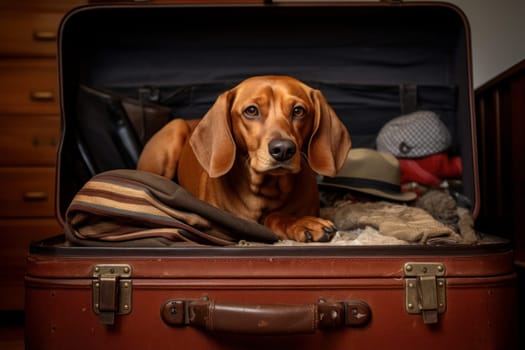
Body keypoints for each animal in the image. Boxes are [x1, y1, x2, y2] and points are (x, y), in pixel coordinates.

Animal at [138, 75, 352, 242]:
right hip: (174, 130)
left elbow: (276, 215)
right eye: (251, 110)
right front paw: (302, 223)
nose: (283, 149)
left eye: (298, 111)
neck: (267, 189)